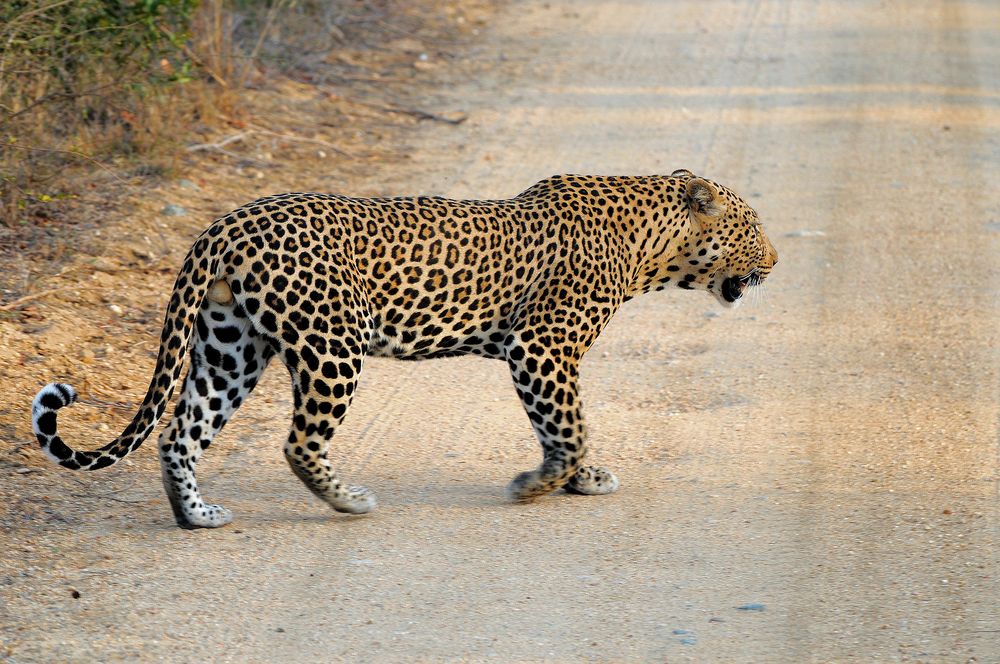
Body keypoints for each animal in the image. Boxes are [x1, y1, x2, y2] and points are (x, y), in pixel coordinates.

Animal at [31, 171, 776, 528]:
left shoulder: (539, 355)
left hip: (231, 347)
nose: (775, 260)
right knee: (297, 442)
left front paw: (575, 478)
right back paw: (349, 502)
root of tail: (226, 222)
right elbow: (570, 426)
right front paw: (540, 485)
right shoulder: (543, 346)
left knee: (179, 434)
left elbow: (559, 426)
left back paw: (197, 517)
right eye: (752, 226)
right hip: (332, 344)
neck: (653, 247)